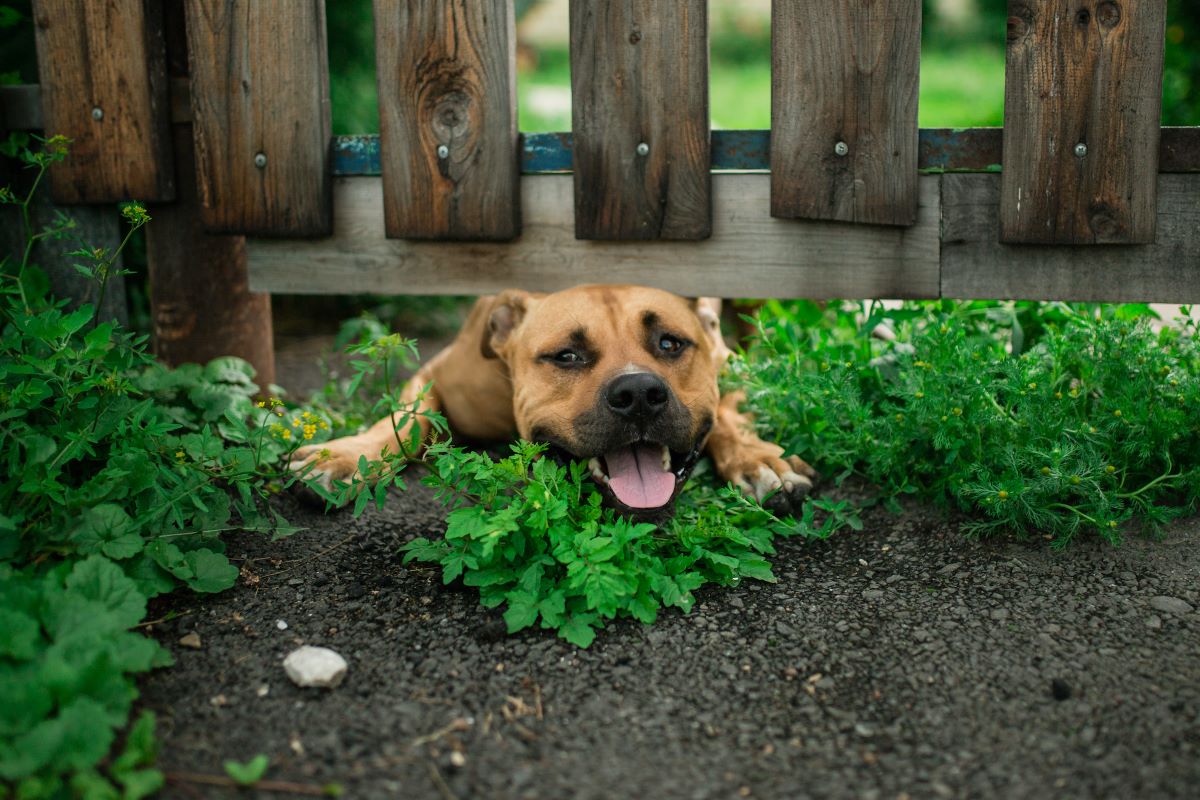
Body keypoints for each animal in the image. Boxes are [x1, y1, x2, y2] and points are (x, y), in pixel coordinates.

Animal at [291, 284, 816, 515]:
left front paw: (759, 460)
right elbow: (406, 417)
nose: (638, 394)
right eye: (566, 355)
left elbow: (728, 413)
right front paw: (345, 457)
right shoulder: (436, 374)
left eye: (670, 343)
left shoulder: (730, 367)